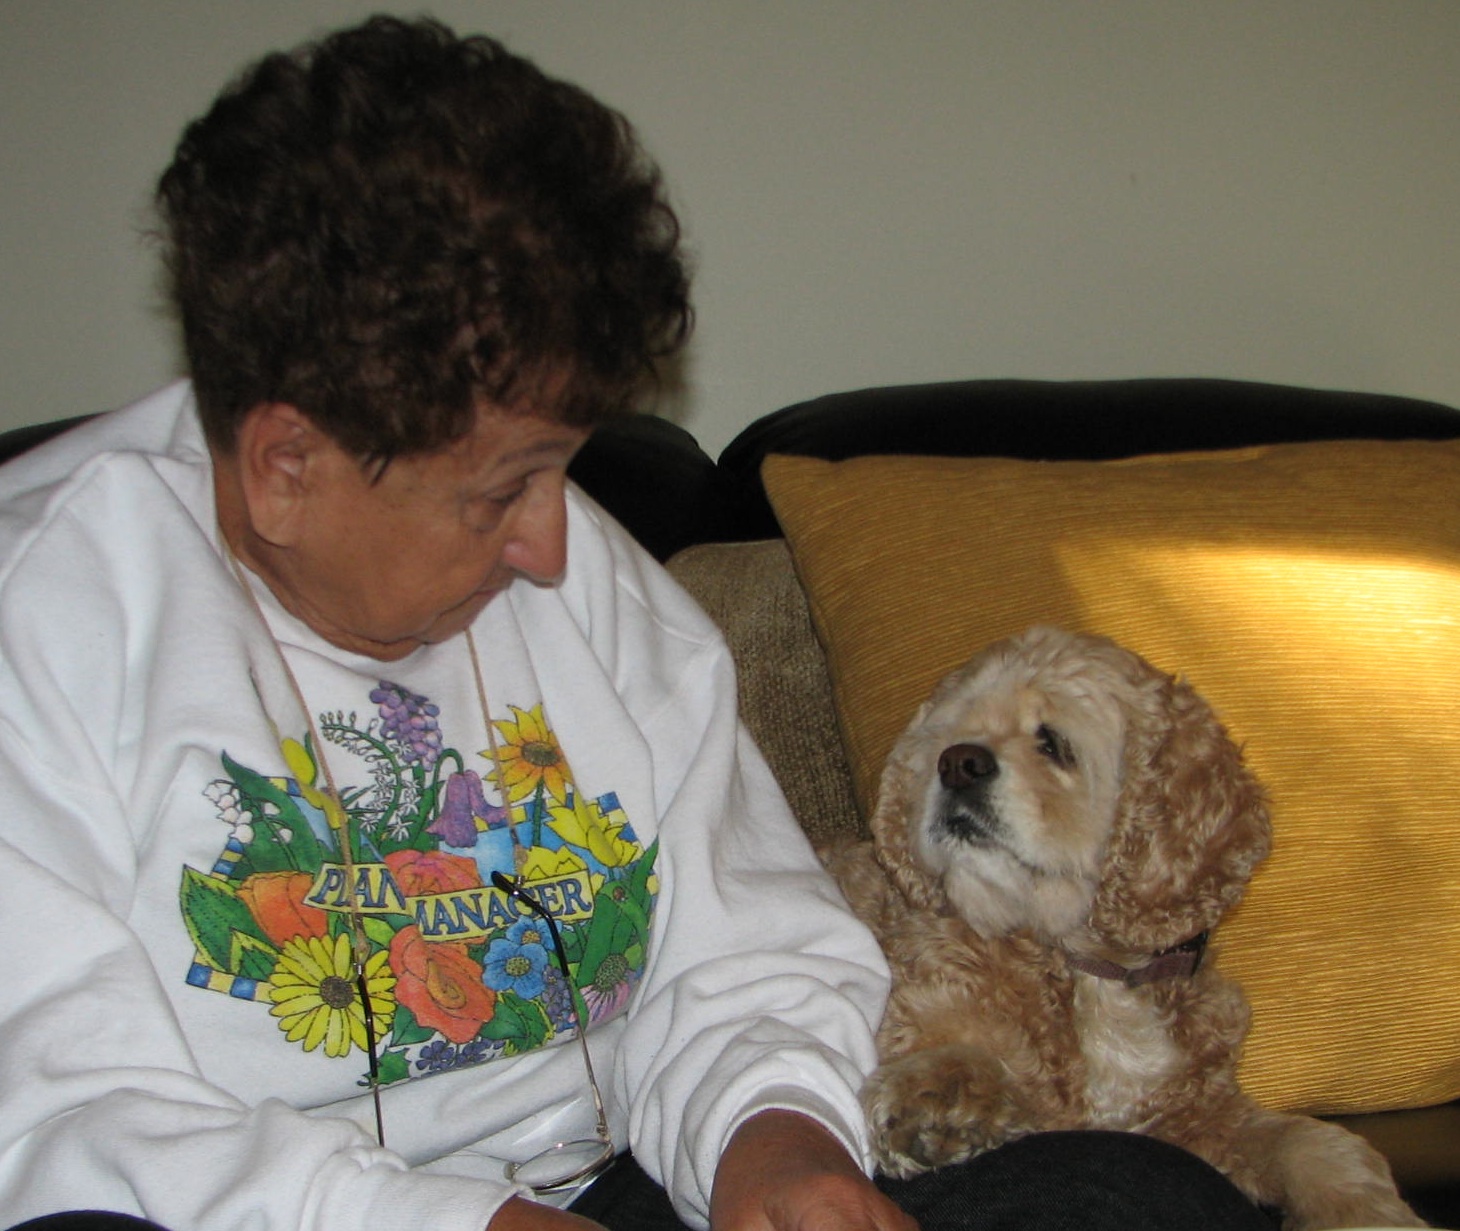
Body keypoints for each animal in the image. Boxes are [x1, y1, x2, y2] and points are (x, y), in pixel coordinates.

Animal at [829, 630, 1419, 1226]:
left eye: (1052, 743)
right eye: (948, 740)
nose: (956, 763)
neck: (1089, 968)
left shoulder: (1196, 1118)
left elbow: (1314, 1143)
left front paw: (1368, 1210)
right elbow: (964, 1058)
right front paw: (931, 1101)